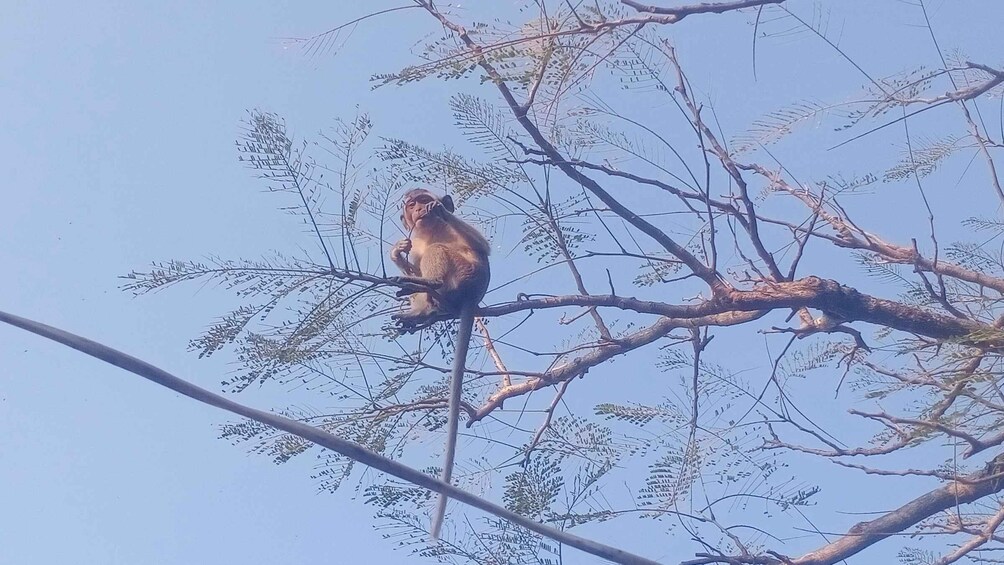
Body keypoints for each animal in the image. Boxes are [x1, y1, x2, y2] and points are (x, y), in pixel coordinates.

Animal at [387, 186, 489, 537]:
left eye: (421, 198)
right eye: (411, 204)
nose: (420, 208)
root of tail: (472, 298)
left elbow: (482, 246)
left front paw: (441, 208)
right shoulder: (415, 237)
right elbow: (411, 256)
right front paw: (397, 254)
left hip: (467, 277)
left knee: (440, 251)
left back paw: (430, 294)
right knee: (421, 275)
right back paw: (422, 307)